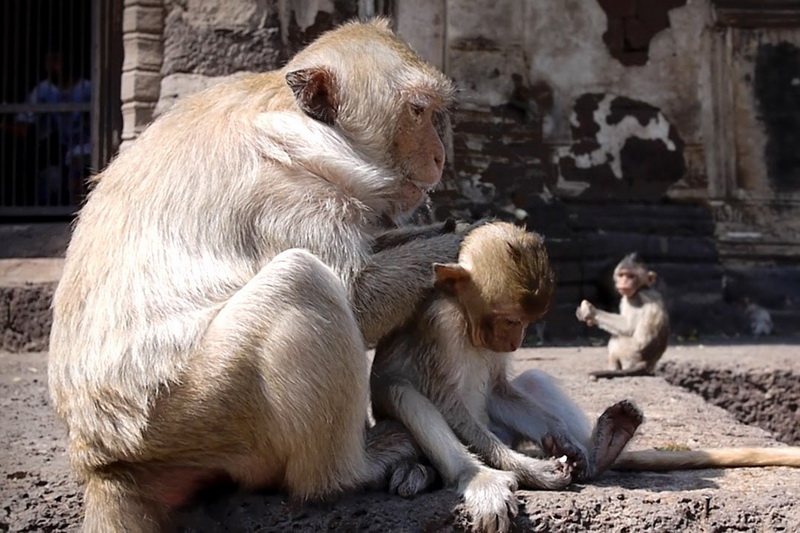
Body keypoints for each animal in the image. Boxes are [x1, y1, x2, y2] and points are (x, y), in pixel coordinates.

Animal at [48, 18, 468, 528]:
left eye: (432, 112)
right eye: (417, 111)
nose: (439, 156)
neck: (300, 124)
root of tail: (100, 461)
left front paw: (444, 228)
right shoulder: (287, 195)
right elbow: (356, 296)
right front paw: (468, 239)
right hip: (198, 409)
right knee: (302, 281)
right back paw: (354, 468)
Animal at [372, 221, 640, 532]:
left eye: (527, 322)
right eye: (510, 320)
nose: (516, 341)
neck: (464, 318)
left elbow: (497, 390)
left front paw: (565, 441)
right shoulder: (439, 324)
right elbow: (444, 401)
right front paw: (528, 469)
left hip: (502, 429)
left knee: (534, 380)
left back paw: (604, 446)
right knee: (401, 392)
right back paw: (482, 479)